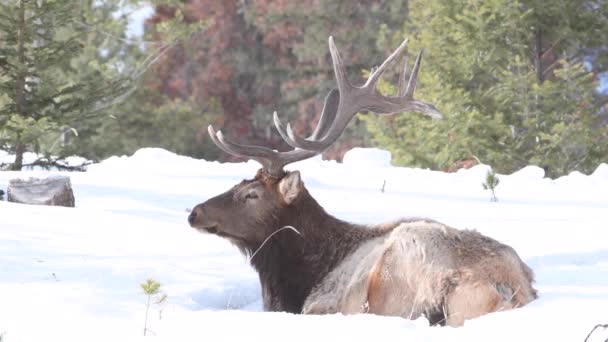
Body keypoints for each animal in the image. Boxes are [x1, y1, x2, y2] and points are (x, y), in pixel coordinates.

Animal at [190, 35, 536, 326]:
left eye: (252, 194)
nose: (194, 212)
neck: (299, 277)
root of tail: (506, 288)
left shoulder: (320, 303)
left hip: (393, 273)